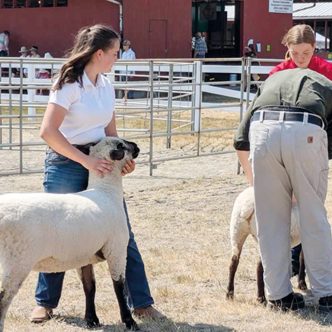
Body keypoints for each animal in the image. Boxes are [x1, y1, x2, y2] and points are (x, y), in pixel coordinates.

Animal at [0, 136, 139, 330]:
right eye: (122, 145)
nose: (137, 146)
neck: (106, 191)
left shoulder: (84, 254)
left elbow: (89, 286)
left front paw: (91, 320)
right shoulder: (116, 249)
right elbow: (119, 285)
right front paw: (129, 321)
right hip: (16, 262)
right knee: (3, 300)